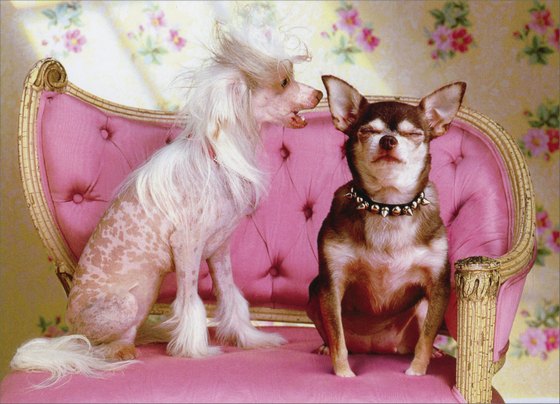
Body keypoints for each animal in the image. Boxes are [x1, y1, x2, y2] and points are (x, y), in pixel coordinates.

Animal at [11, 21, 322, 385]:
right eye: (284, 82)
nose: (319, 95)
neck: (218, 158)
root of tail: (70, 331)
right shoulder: (187, 246)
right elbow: (190, 301)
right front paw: (193, 350)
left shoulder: (218, 250)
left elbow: (231, 296)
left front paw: (249, 339)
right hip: (125, 306)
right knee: (92, 349)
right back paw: (114, 353)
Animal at [307, 75, 465, 377]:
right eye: (367, 131)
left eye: (414, 134)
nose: (388, 140)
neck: (388, 208)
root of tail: (376, 347)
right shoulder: (331, 285)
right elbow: (337, 339)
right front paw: (344, 374)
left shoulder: (438, 287)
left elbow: (426, 337)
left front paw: (416, 372)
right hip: (313, 292)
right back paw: (322, 346)